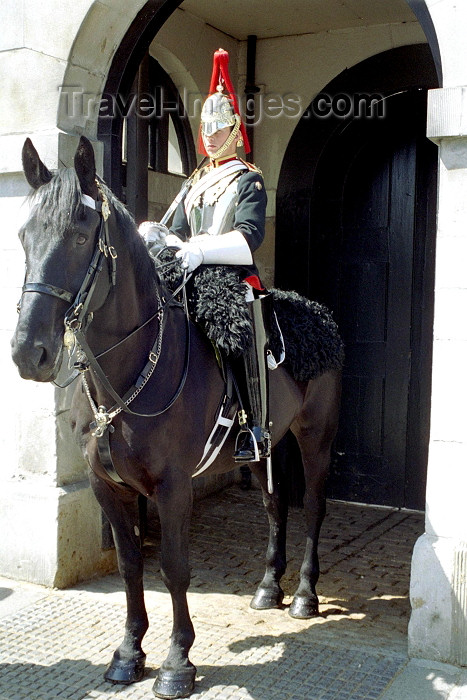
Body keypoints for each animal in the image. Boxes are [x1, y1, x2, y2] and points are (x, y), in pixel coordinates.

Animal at [10, 137, 340, 700]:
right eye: (23, 233)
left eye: (80, 235)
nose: (28, 352)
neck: (132, 368)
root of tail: (321, 317)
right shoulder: (106, 485)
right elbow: (130, 565)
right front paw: (128, 651)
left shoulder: (172, 487)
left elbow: (174, 569)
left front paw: (177, 660)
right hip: (264, 447)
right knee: (274, 506)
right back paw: (267, 587)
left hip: (315, 434)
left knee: (313, 508)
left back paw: (302, 594)